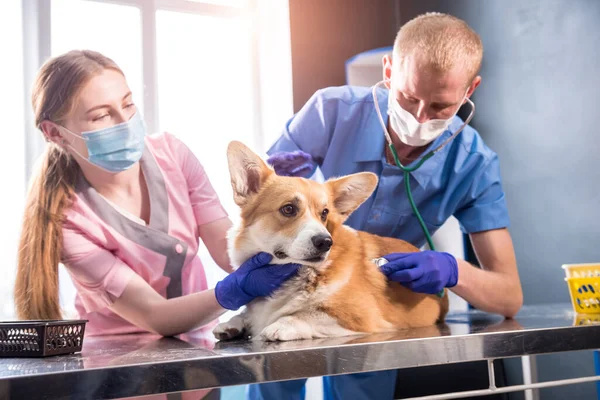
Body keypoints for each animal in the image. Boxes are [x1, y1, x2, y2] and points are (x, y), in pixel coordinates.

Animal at [213, 141, 448, 340]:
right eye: (288, 209)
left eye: (324, 213)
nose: (325, 242)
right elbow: (246, 313)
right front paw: (235, 322)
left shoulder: (360, 316)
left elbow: (307, 314)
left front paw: (281, 324)